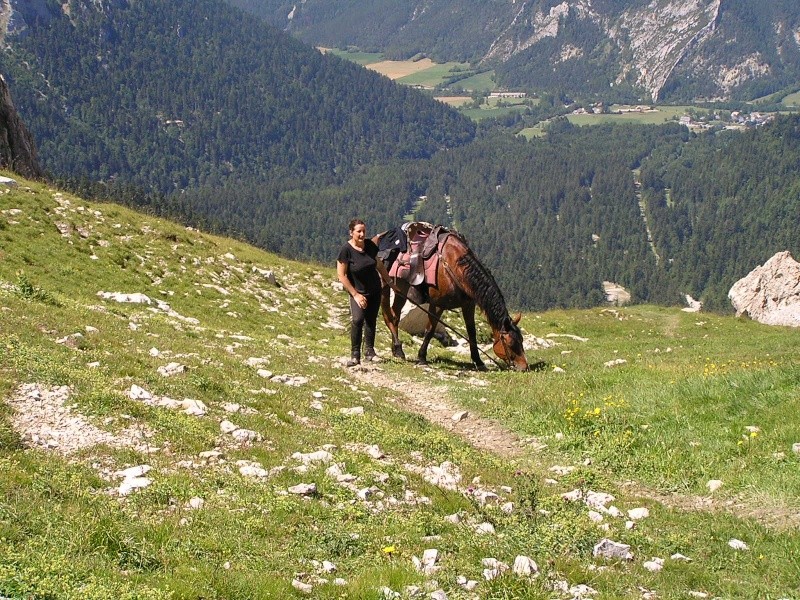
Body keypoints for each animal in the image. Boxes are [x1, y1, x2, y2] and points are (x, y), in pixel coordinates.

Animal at [376, 227, 532, 372]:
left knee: (395, 315)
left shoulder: (468, 305)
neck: (455, 267)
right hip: (388, 288)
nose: (524, 367)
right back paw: (398, 349)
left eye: (521, 340)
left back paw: (395, 349)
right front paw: (421, 358)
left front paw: (479, 362)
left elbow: (472, 332)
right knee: (390, 317)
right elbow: (430, 331)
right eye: (511, 343)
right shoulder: (437, 304)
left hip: (400, 291)